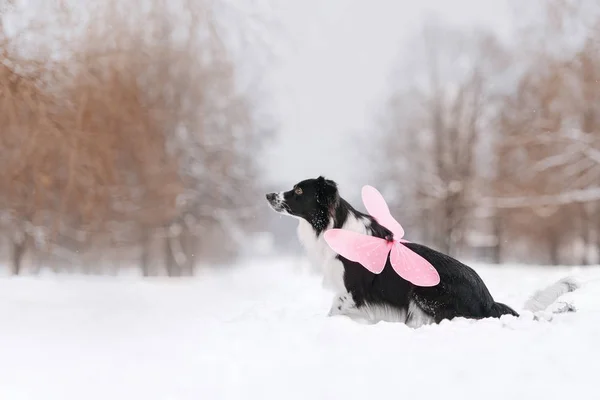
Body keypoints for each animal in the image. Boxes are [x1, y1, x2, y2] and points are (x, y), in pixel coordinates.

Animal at [264, 177, 580, 326]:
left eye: (299, 191)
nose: (268, 195)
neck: (332, 224)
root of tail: (488, 301)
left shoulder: (352, 292)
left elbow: (333, 311)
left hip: (425, 294)